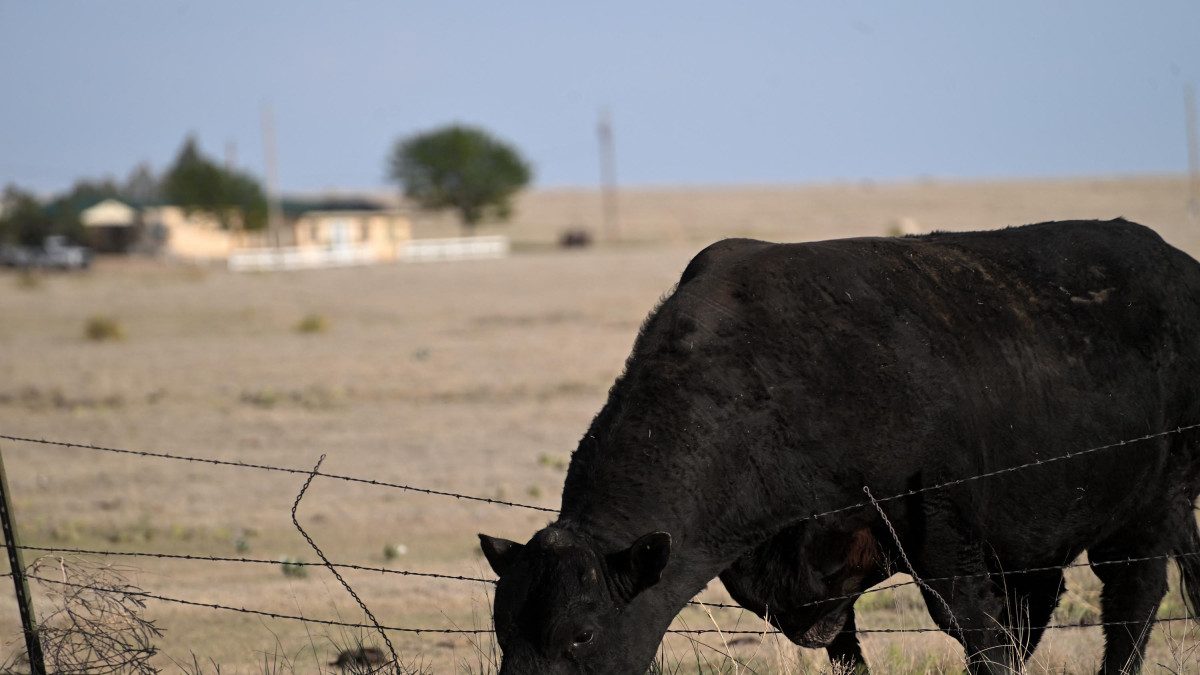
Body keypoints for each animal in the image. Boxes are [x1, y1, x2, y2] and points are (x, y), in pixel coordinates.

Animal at [479, 219, 1200, 674]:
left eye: (582, 634)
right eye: (503, 630)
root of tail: (1176, 261)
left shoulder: (945, 542)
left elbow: (983, 641)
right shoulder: (813, 587)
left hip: (1153, 504)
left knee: (1132, 605)